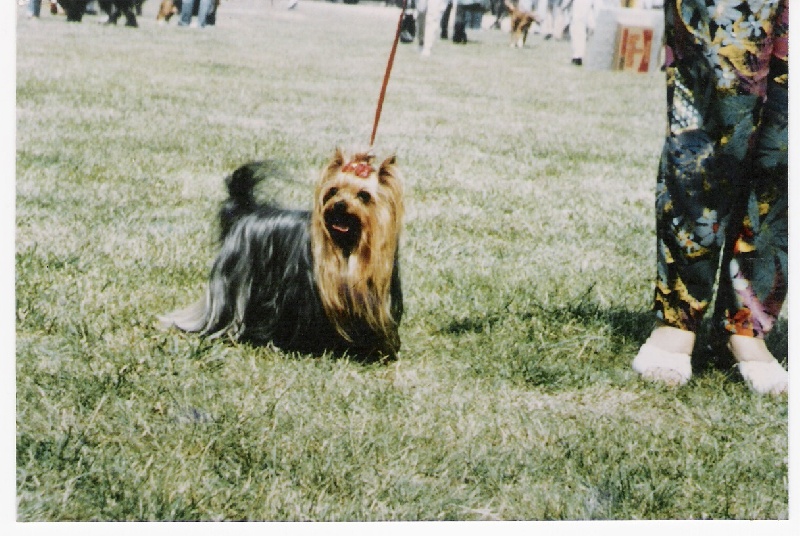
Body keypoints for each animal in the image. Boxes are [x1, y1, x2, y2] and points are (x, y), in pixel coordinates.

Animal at [159, 150, 405, 359]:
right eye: (333, 191)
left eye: (364, 195)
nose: (339, 206)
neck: (347, 248)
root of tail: (246, 211)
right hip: (231, 286)